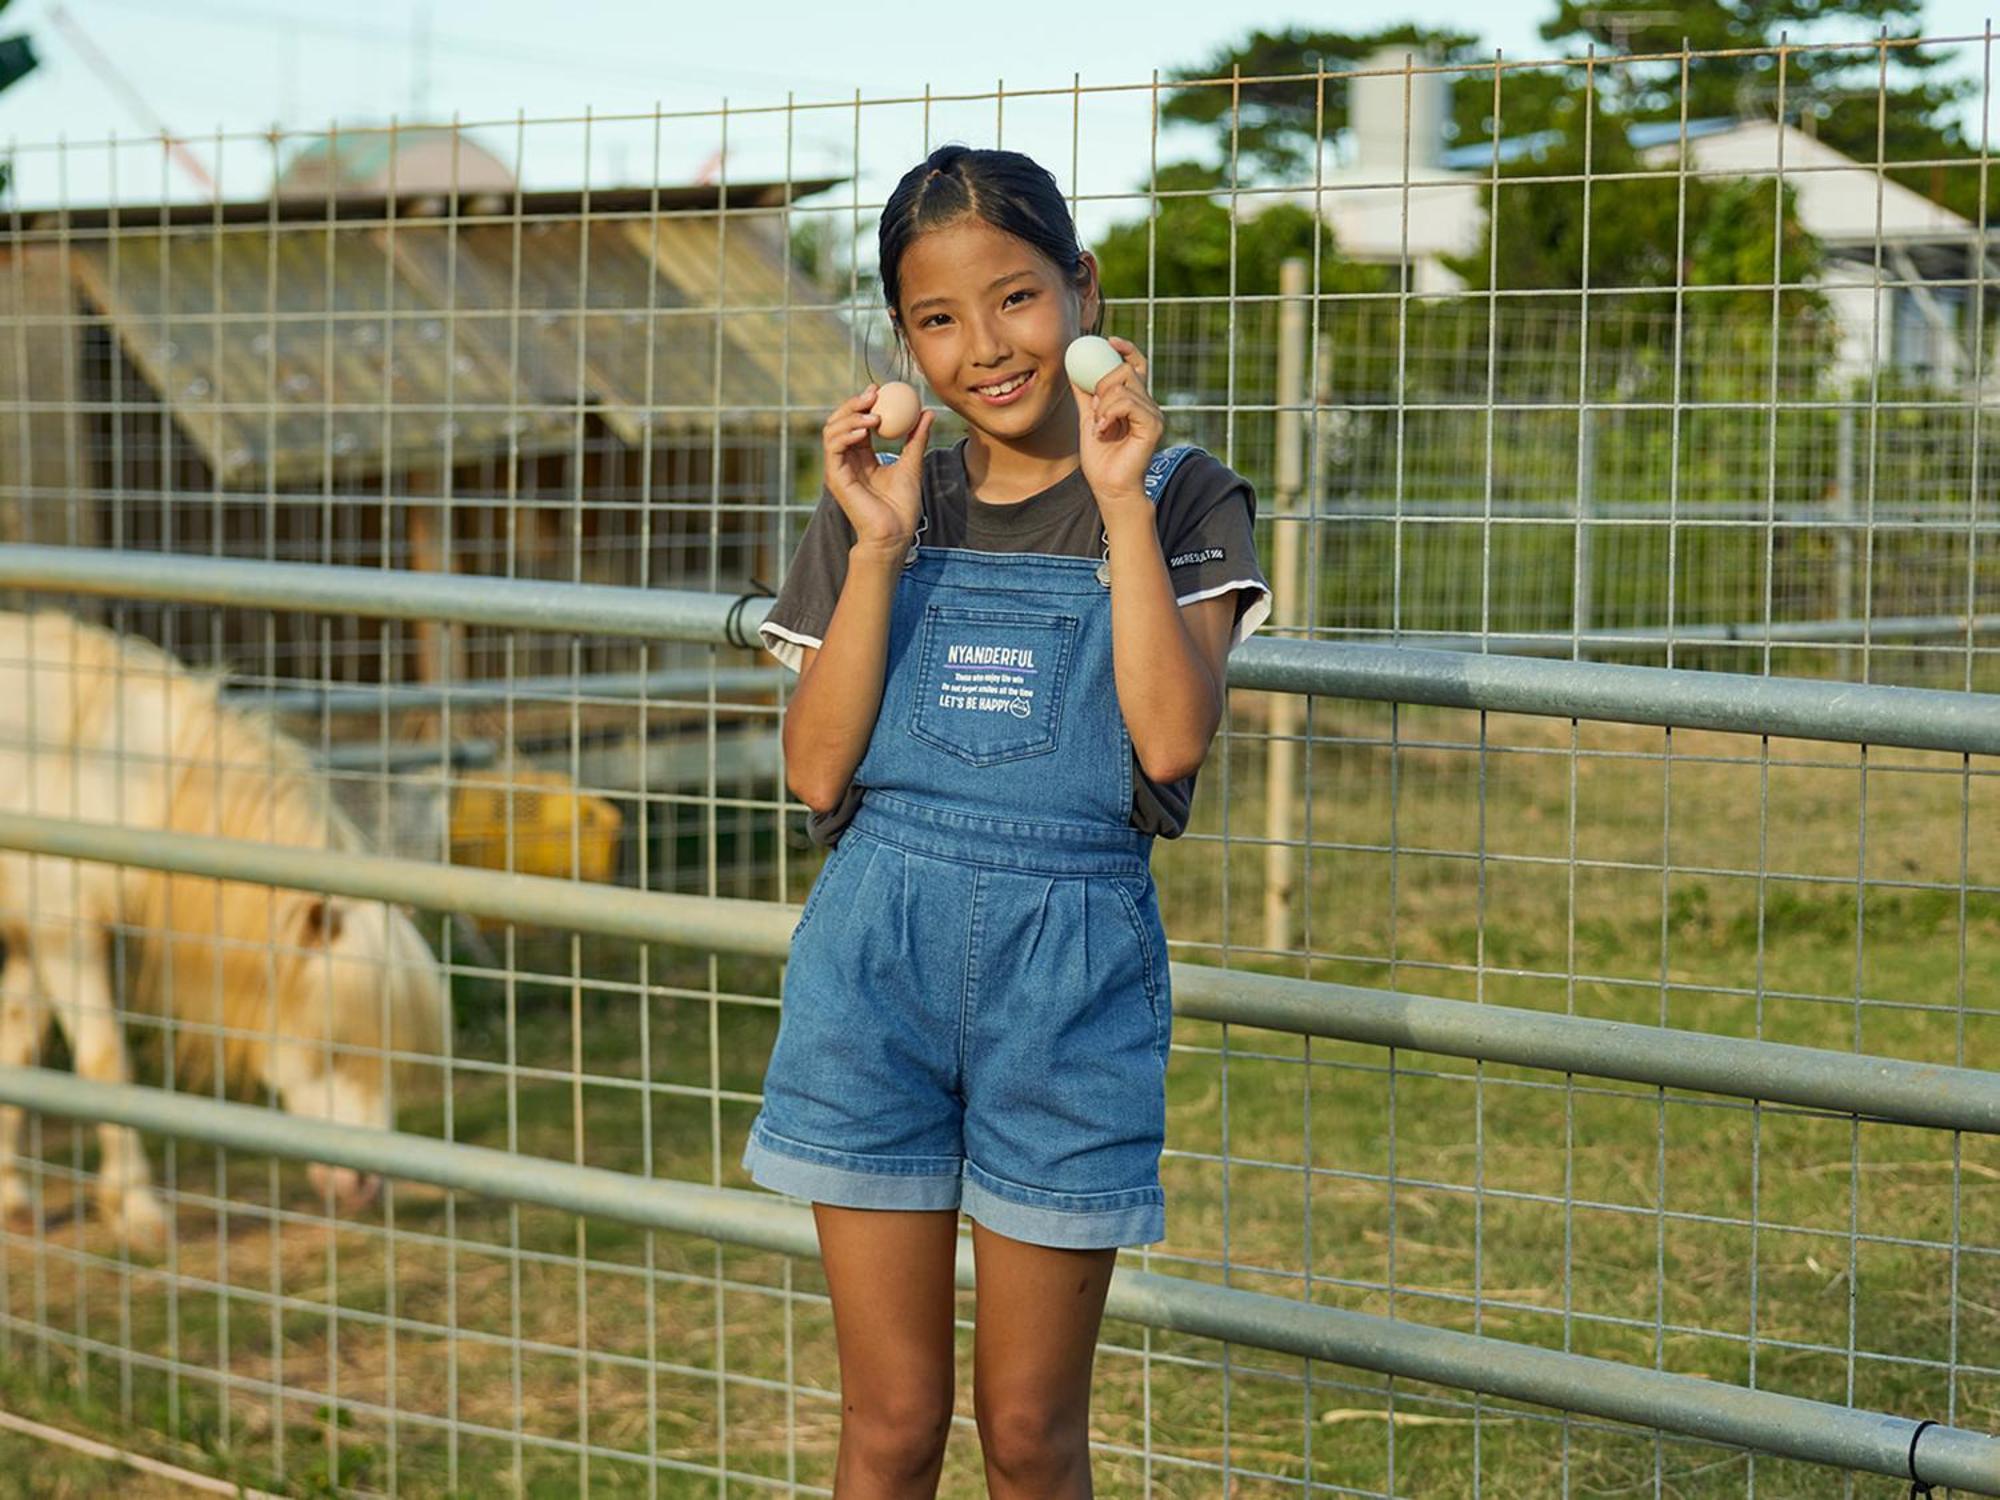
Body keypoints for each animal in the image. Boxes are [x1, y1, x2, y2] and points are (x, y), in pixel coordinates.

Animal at [0, 616, 446, 1248]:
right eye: (332, 1045)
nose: (364, 1187)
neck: (96, 770)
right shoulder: (65, 935)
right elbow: (105, 1063)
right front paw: (138, 1212)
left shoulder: (38, 934)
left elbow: (15, 1049)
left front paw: (12, 1199)